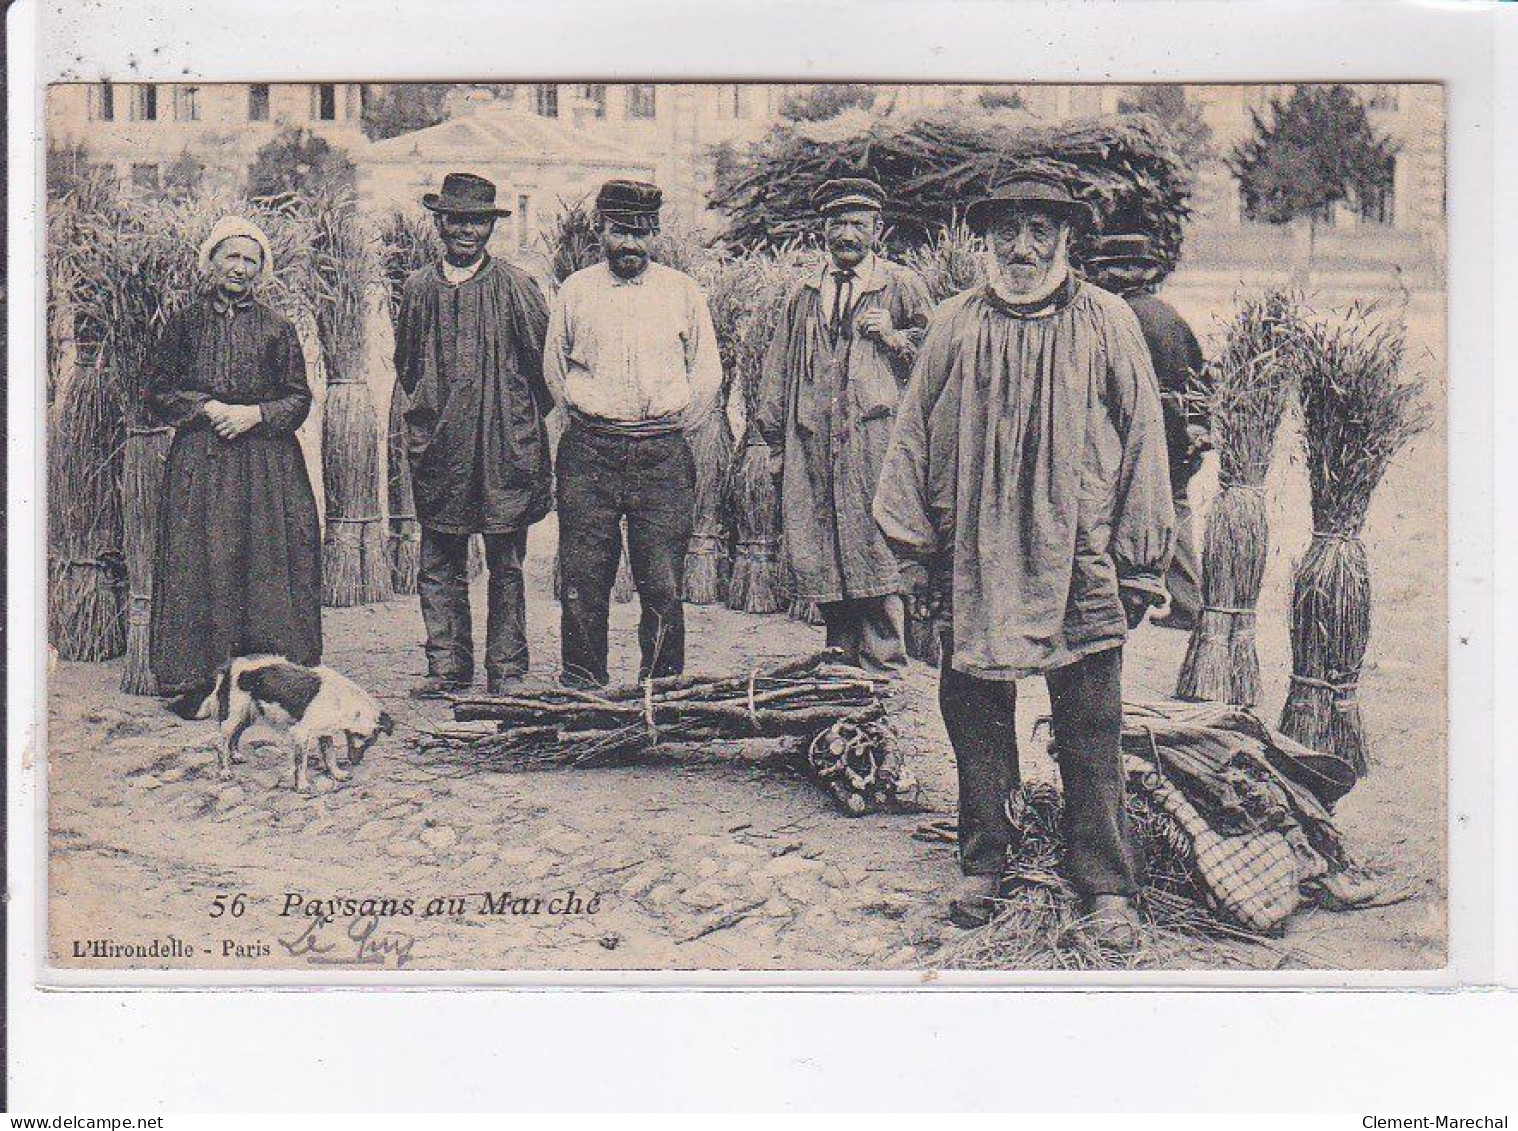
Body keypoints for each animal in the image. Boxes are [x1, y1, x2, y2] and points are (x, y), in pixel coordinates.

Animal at [170, 658, 394, 789]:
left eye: (370, 742)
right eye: (361, 737)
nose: (356, 762)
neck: (340, 699)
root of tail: (228, 666)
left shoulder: (325, 733)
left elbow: (330, 757)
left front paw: (337, 774)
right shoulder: (301, 734)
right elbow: (301, 763)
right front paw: (301, 785)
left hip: (248, 716)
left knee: (235, 736)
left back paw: (236, 756)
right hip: (232, 716)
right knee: (220, 743)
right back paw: (225, 770)